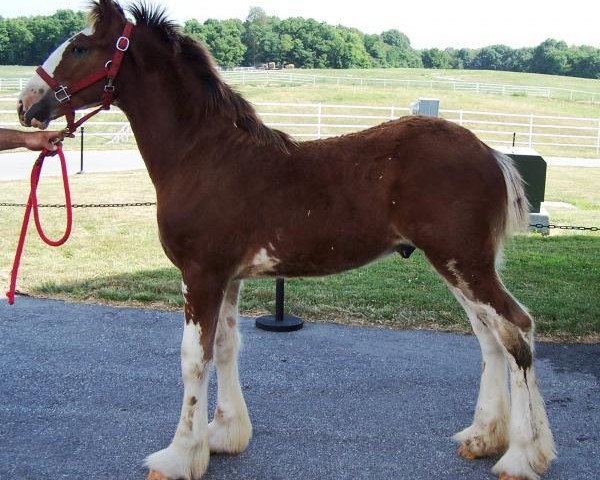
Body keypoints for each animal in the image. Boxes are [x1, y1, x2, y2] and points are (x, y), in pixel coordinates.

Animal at [16, 1, 556, 478]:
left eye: (80, 46)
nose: (26, 104)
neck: (203, 155)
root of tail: (492, 155)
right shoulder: (227, 277)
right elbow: (226, 347)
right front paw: (223, 436)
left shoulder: (200, 274)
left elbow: (194, 358)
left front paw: (178, 456)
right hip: (456, 265)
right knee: (490, 339)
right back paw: (484, 437)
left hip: (464, 263)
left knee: (516, 329)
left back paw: (522, 457)